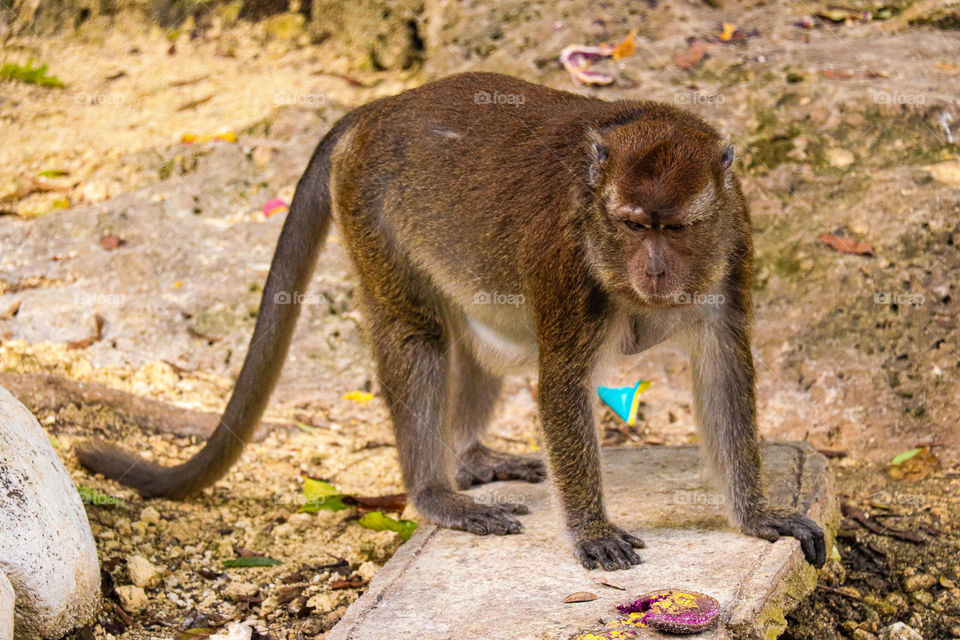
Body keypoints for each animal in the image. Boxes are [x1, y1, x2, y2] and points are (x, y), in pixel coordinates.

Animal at [76, 72, 826, 571]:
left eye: (678, 228)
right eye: (634, 225)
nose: (657, 273)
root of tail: (385, 105)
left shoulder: (734, 239)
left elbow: (724, 363)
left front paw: (756, 515)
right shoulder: (563, 258)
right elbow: (561, 382)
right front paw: (591, 530)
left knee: (478, 338)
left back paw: (469, 456)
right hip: (369, 207)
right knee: (421, 336)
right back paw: (436, 492)